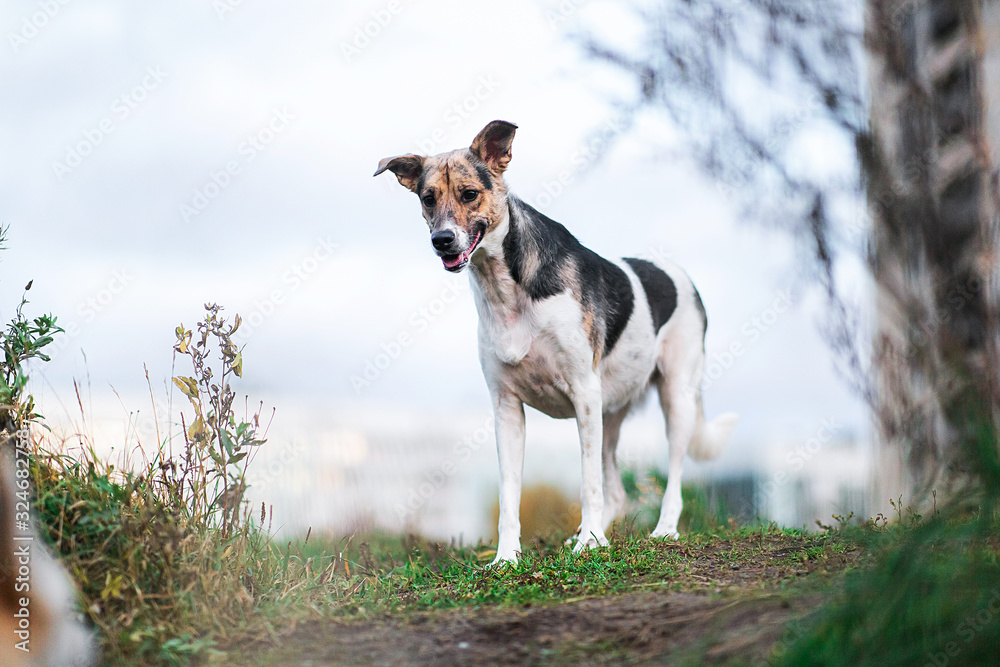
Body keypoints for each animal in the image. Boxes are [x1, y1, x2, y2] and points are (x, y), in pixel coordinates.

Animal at [376, 120, 736, 564]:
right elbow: (509, 494)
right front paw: (506, 557)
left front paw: (590, 544)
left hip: (675, 399)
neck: (505, 288)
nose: (441, 240)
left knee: (671, 478)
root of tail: (680, 275)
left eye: (469, 194)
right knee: (616, 490)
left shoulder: (583, 393)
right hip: (609, 414)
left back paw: (661, 530)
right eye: (428, 199)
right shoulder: (507, 408)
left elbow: (589, 483)